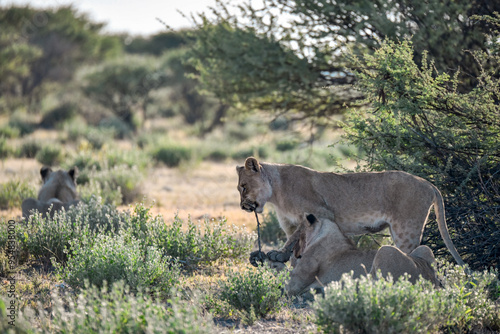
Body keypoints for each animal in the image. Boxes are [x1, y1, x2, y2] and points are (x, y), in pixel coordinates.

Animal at [260, 213, 440, 296]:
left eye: (298, 231)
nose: (294, 250)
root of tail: (431, 283)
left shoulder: (295, 284)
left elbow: (281, 278)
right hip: (424, 250)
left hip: (386, 250)